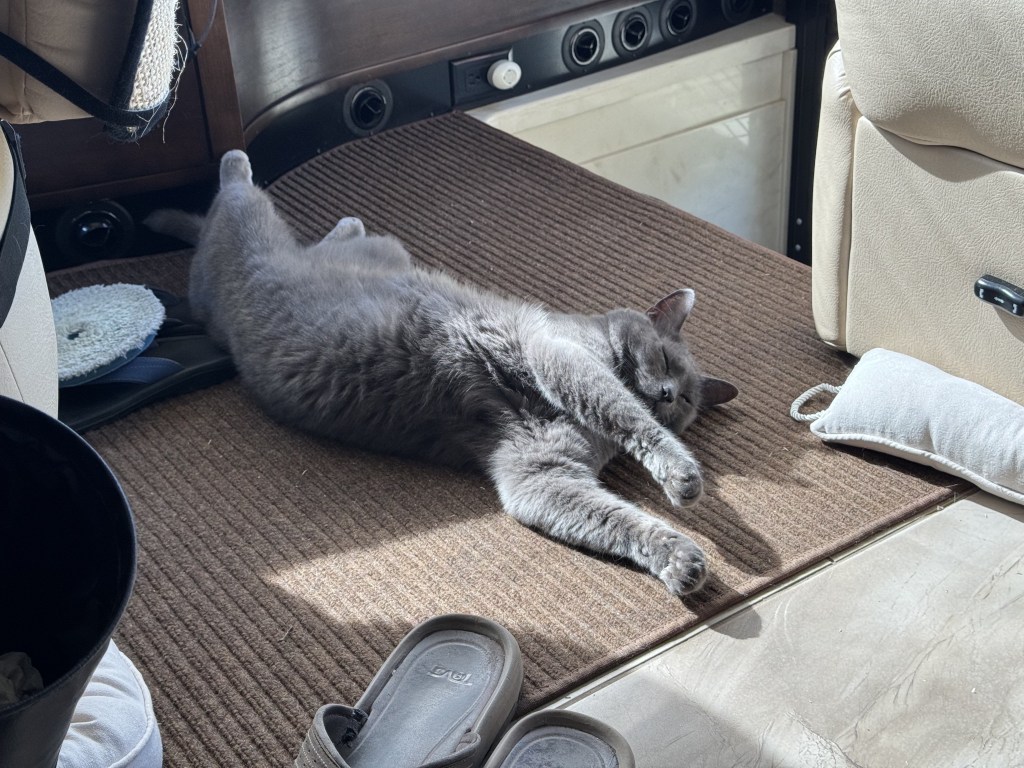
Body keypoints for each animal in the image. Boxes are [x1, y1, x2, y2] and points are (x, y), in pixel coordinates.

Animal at [146, 150, 737, 593]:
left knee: (315, 235)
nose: (667, 393)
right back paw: (242, 178)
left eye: (688, 399)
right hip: (261, 231)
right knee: (236, 188)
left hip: (367, 252)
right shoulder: (558, 354)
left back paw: (340, 221)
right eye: (665, 361)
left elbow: (612, 518)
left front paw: (678, 560)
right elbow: (626, 414)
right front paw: (684, 478)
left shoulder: (538, 472)